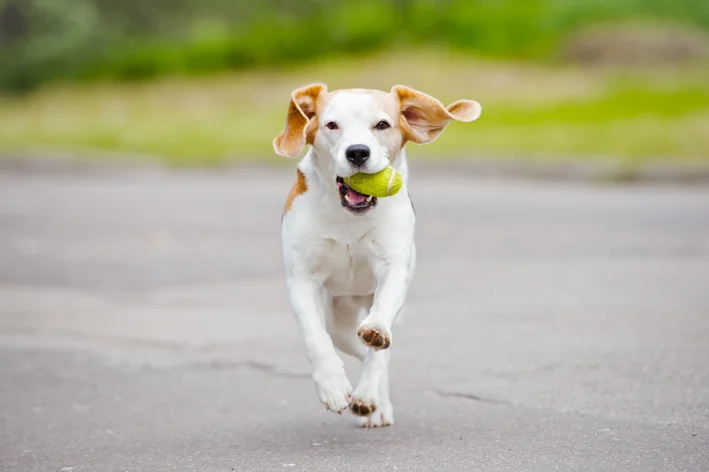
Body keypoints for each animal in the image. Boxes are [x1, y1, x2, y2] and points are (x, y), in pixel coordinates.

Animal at [274, 85, 478, 428]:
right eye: (332, 125)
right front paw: (331, 385)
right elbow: (315, 337)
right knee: (348, 343)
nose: (357, 152)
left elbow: (382, 319)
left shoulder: (394, 266)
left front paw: (376, 339)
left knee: (378, 350)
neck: (348, 218)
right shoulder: (301, 279)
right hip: (339, 319)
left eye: (382, 125)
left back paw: (371, 398)